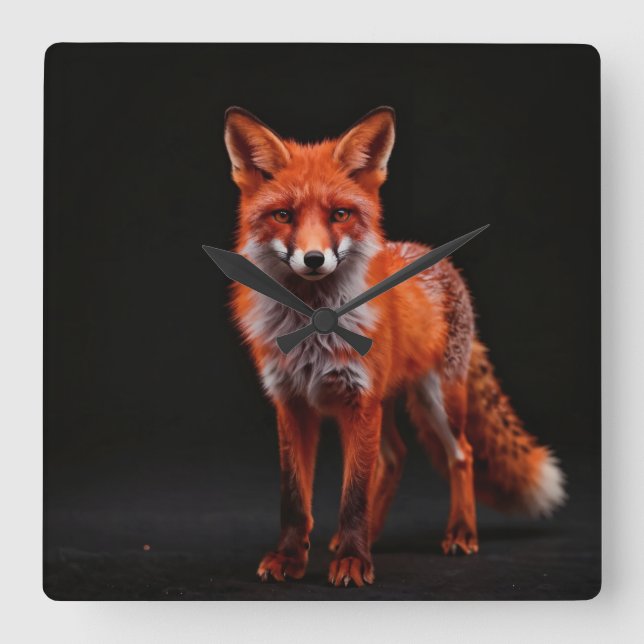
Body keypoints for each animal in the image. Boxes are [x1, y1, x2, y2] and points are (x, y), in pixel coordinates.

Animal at [222, 105, 566, 587]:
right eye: (284, 216)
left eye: (340, 214)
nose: (314, 259)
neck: (315, 320)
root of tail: (438, 259)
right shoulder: (292, 404)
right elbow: (294, 497)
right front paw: (290, 557)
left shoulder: (360, 401)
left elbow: (353, 495)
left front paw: (353, 561)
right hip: (383, 407)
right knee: (395, 458)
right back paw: (373, 535)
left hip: (436, 403)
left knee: (462, 455)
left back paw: (460, 532)